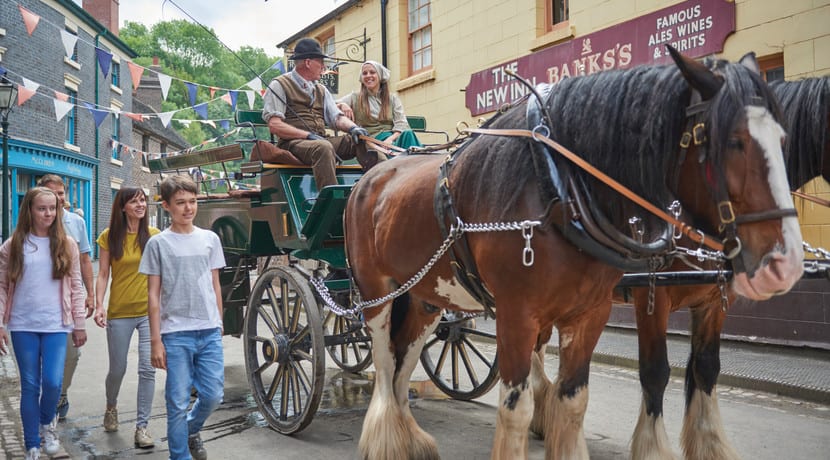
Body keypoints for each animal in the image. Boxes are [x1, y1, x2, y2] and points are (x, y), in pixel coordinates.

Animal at [346, 47, 808, 460]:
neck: (557, 187)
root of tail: (372, 174)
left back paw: (408, 437)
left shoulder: (590, 313)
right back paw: (385, 440)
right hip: (376, 294)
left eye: (785, 139)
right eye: (734, 141)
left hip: (426, 296)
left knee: (404, 361)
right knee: (384, 361)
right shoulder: (518, 314)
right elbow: (517, 407)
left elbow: (574, 401)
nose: (786, 264)